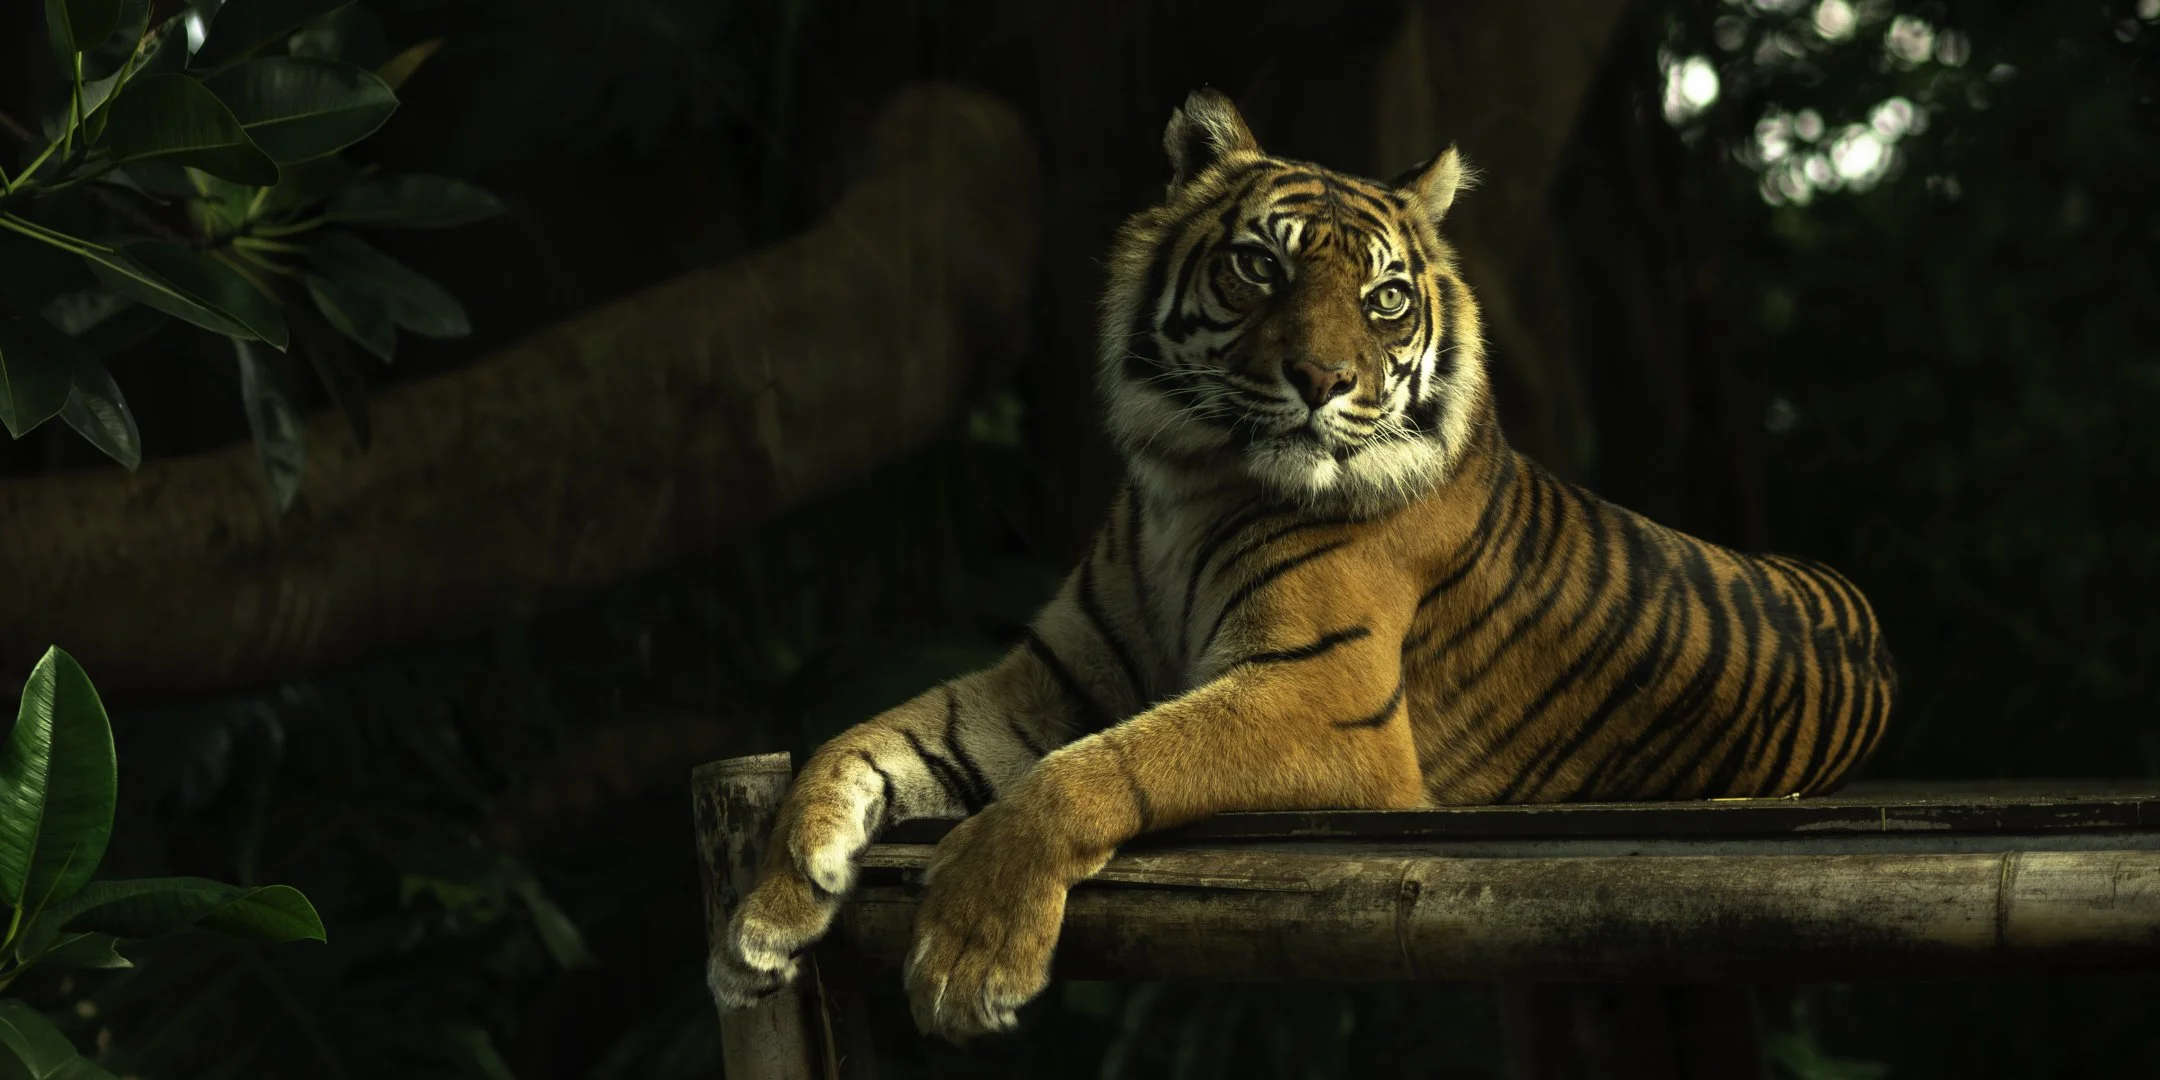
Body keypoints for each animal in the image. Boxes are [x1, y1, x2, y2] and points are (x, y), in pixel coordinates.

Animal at [711, 87, 1897, 1043]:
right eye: (1260, 266)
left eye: (1385, 299)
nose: (1322, 379)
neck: (1191, 481)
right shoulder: (1046, 682)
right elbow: (863, 740)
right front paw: (765, 916)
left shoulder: (1325, 700)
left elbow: (1099, 768)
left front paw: (969, 957)